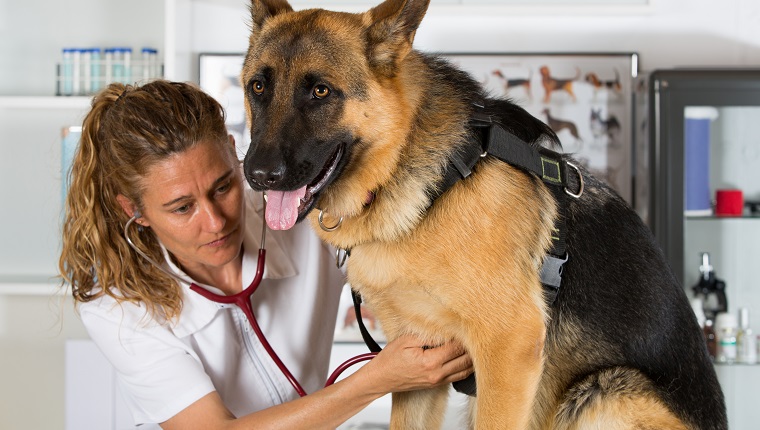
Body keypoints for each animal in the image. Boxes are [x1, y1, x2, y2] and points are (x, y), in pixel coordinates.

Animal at [240, 1, 728, 428]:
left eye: (320, 91)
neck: (431, 183)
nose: (258, 175)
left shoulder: (508, 350)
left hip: (605, 393)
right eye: (257, 87)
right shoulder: (418, 362)